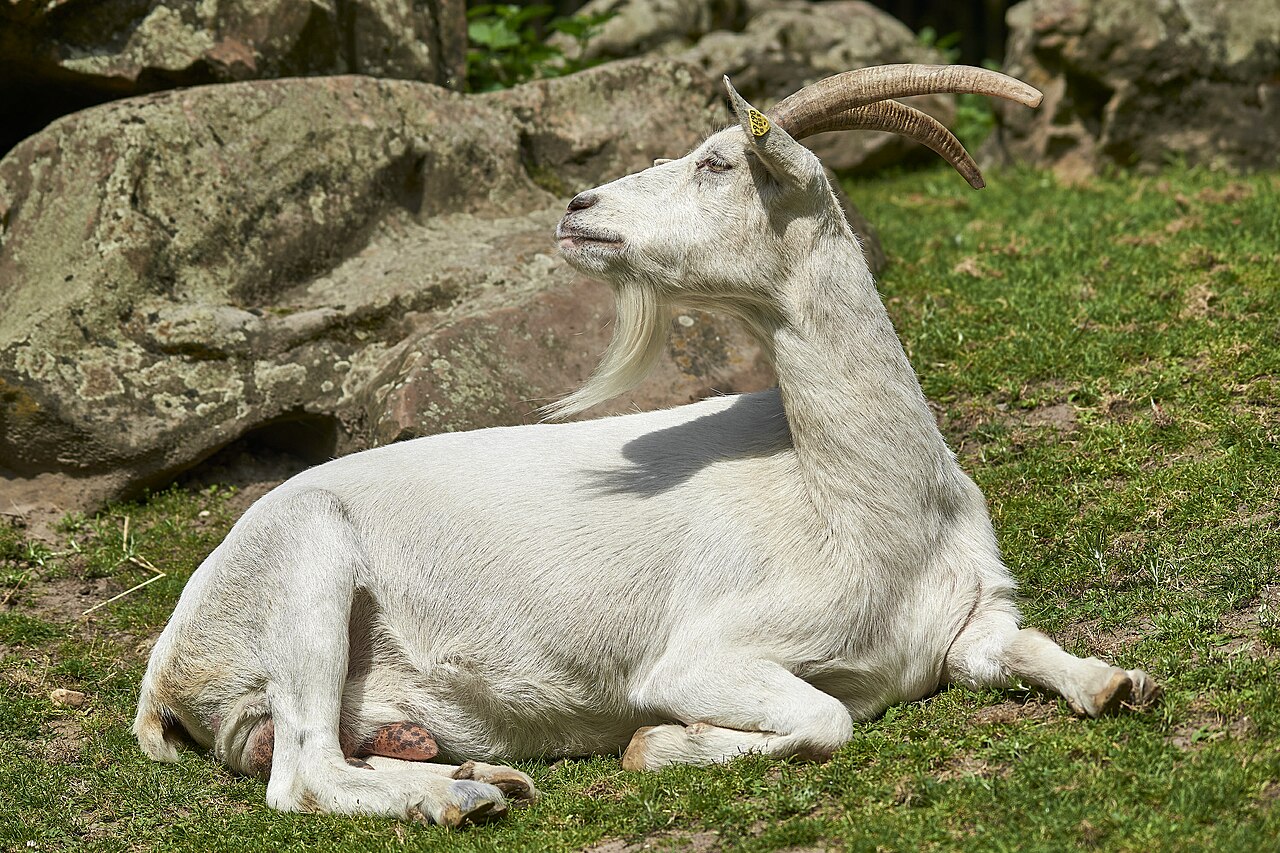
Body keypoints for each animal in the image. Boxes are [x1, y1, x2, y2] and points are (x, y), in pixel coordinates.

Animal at [134, 64, 1160, 825]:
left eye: (716, 162)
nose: (578, 206)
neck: (861, 506)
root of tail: (168, 654)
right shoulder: (705, 655)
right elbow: (827, 717)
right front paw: (657, 744)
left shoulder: (969, 619)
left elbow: (1027, 648)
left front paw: (1120, 683)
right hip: (307, 562)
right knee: (300, 772)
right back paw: (460, 796)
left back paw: (457, 766)